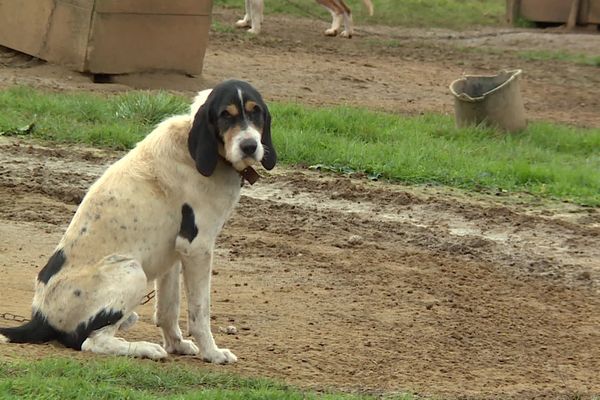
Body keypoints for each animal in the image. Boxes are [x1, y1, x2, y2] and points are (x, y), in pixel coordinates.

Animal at [0, 79, 276, 364]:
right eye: (225, 115)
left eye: (256, 112)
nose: (249, 146)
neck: (193, 147)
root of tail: (40, 319)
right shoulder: (196, 247)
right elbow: (200, 312)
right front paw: (212, 353)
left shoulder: (174, 255)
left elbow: (168, 310)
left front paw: (177, 345)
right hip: (132, 271)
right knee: (91, 342)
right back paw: (144, 348)